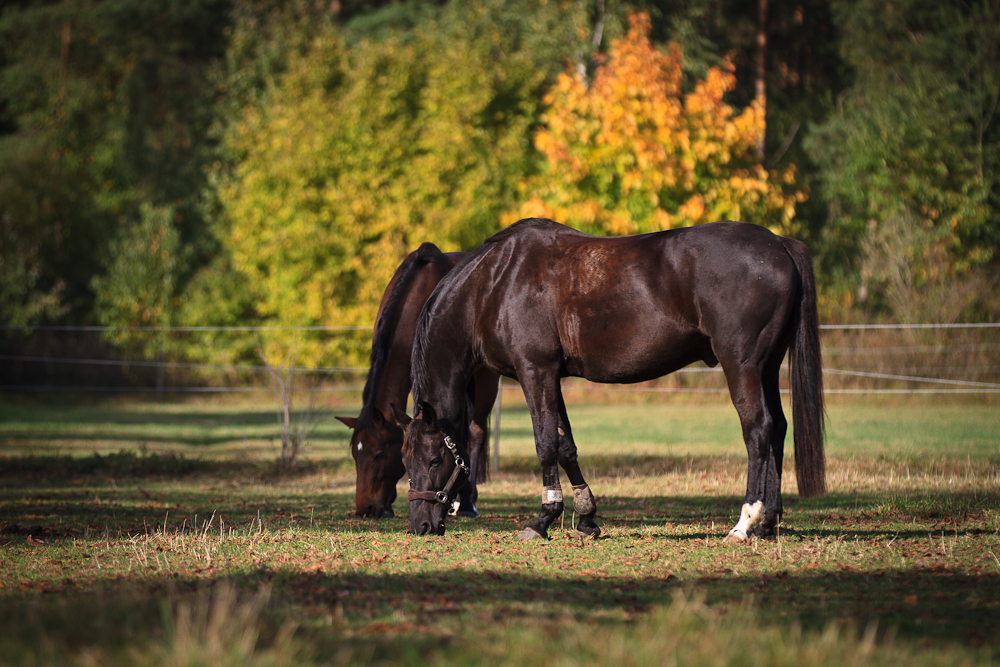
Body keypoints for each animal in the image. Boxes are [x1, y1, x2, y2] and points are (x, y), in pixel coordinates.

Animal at [334, 245, 498, 520]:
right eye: (356, 455)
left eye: (379, 454)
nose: (365, 509)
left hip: (485, 378)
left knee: (476, 432)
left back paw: (467, 501)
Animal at [394, 219, 824, 544]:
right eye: (404, 460)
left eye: (434, 459)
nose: (421, 526)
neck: (494, 285)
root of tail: (780, 244)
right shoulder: (552, 376)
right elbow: (566, 446)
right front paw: (586, 517)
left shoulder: (535, 372)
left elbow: (545, 444)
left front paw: (543, 519)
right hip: (767, 367)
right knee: (777, 428)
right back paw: (768, 522)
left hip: (742, 365)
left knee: (757, 430)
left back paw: (744, 523)